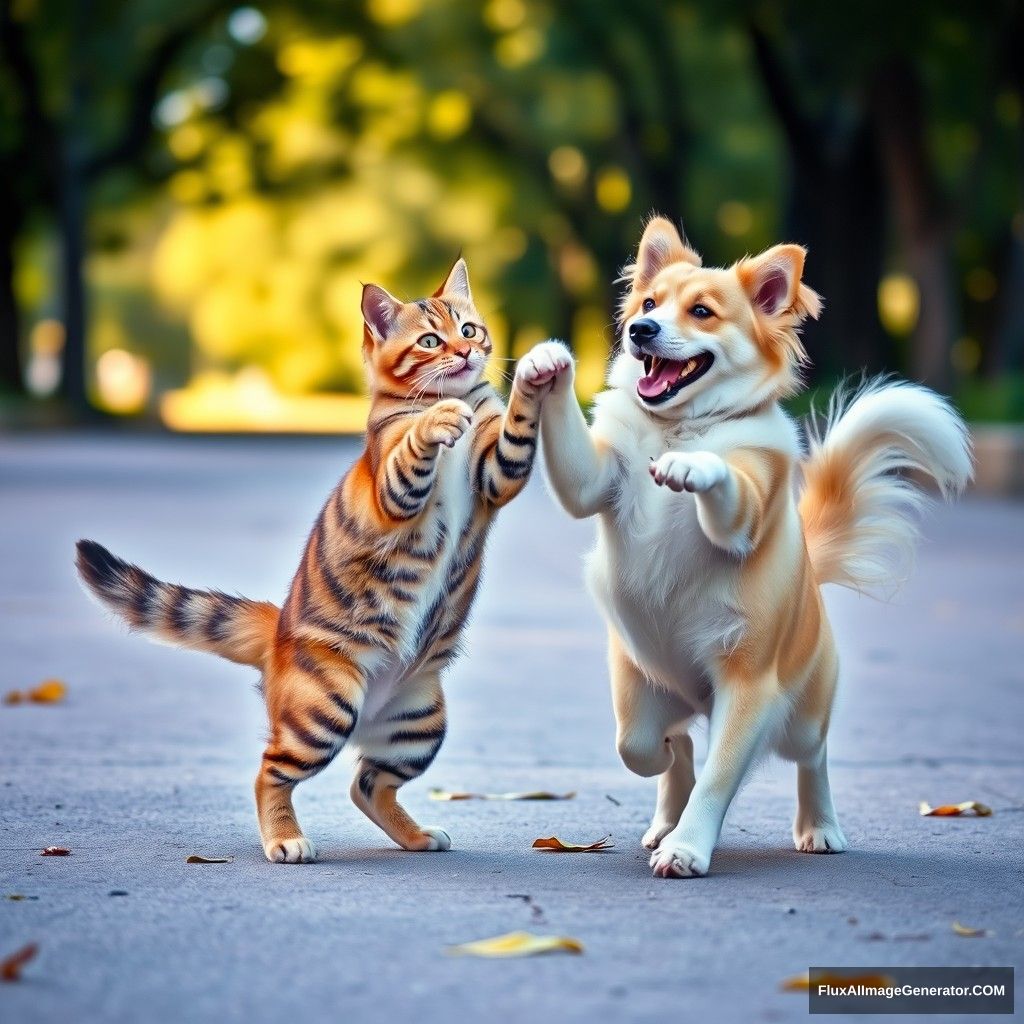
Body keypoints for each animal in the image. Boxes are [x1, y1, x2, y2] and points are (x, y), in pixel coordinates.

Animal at [75, 260, 565, 860]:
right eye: (431, 341)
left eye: (469, 330)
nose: (467, 352)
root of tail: (277, 631)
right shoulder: (394, 489)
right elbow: (415, 441)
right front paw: (438, 417)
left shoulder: (496, 471)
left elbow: (513, 430)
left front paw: (537, 371)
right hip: (324, 710)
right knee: (269, 772)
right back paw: (285, 838)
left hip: (419, 724)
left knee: (367, 784)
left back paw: (415, 835)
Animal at [524, 220, 970, 876]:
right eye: (649, 303)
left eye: (702, 312)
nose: (640, 331)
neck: (679, 425)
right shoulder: (595, 481)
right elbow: (653, 755)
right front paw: (545, 363)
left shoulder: (749, 681)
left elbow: (717, 780)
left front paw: (688, 848)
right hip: (643, 688)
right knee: (655, 743)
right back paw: (667, 808)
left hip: (797, 711)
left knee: (813, 756)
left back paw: (818, 825)